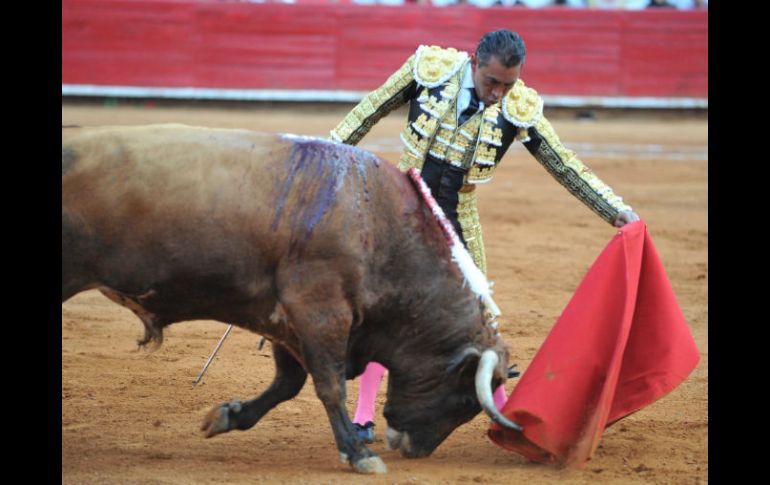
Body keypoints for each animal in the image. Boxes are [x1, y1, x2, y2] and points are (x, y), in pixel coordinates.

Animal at [61, 124, 516, 472]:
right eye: (464, 398)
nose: (415, 449)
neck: (380, 228)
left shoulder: (285, 319)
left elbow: (288, 383)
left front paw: (228, 416)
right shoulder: (320, 311)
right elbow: (330, 385)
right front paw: (357, 453)